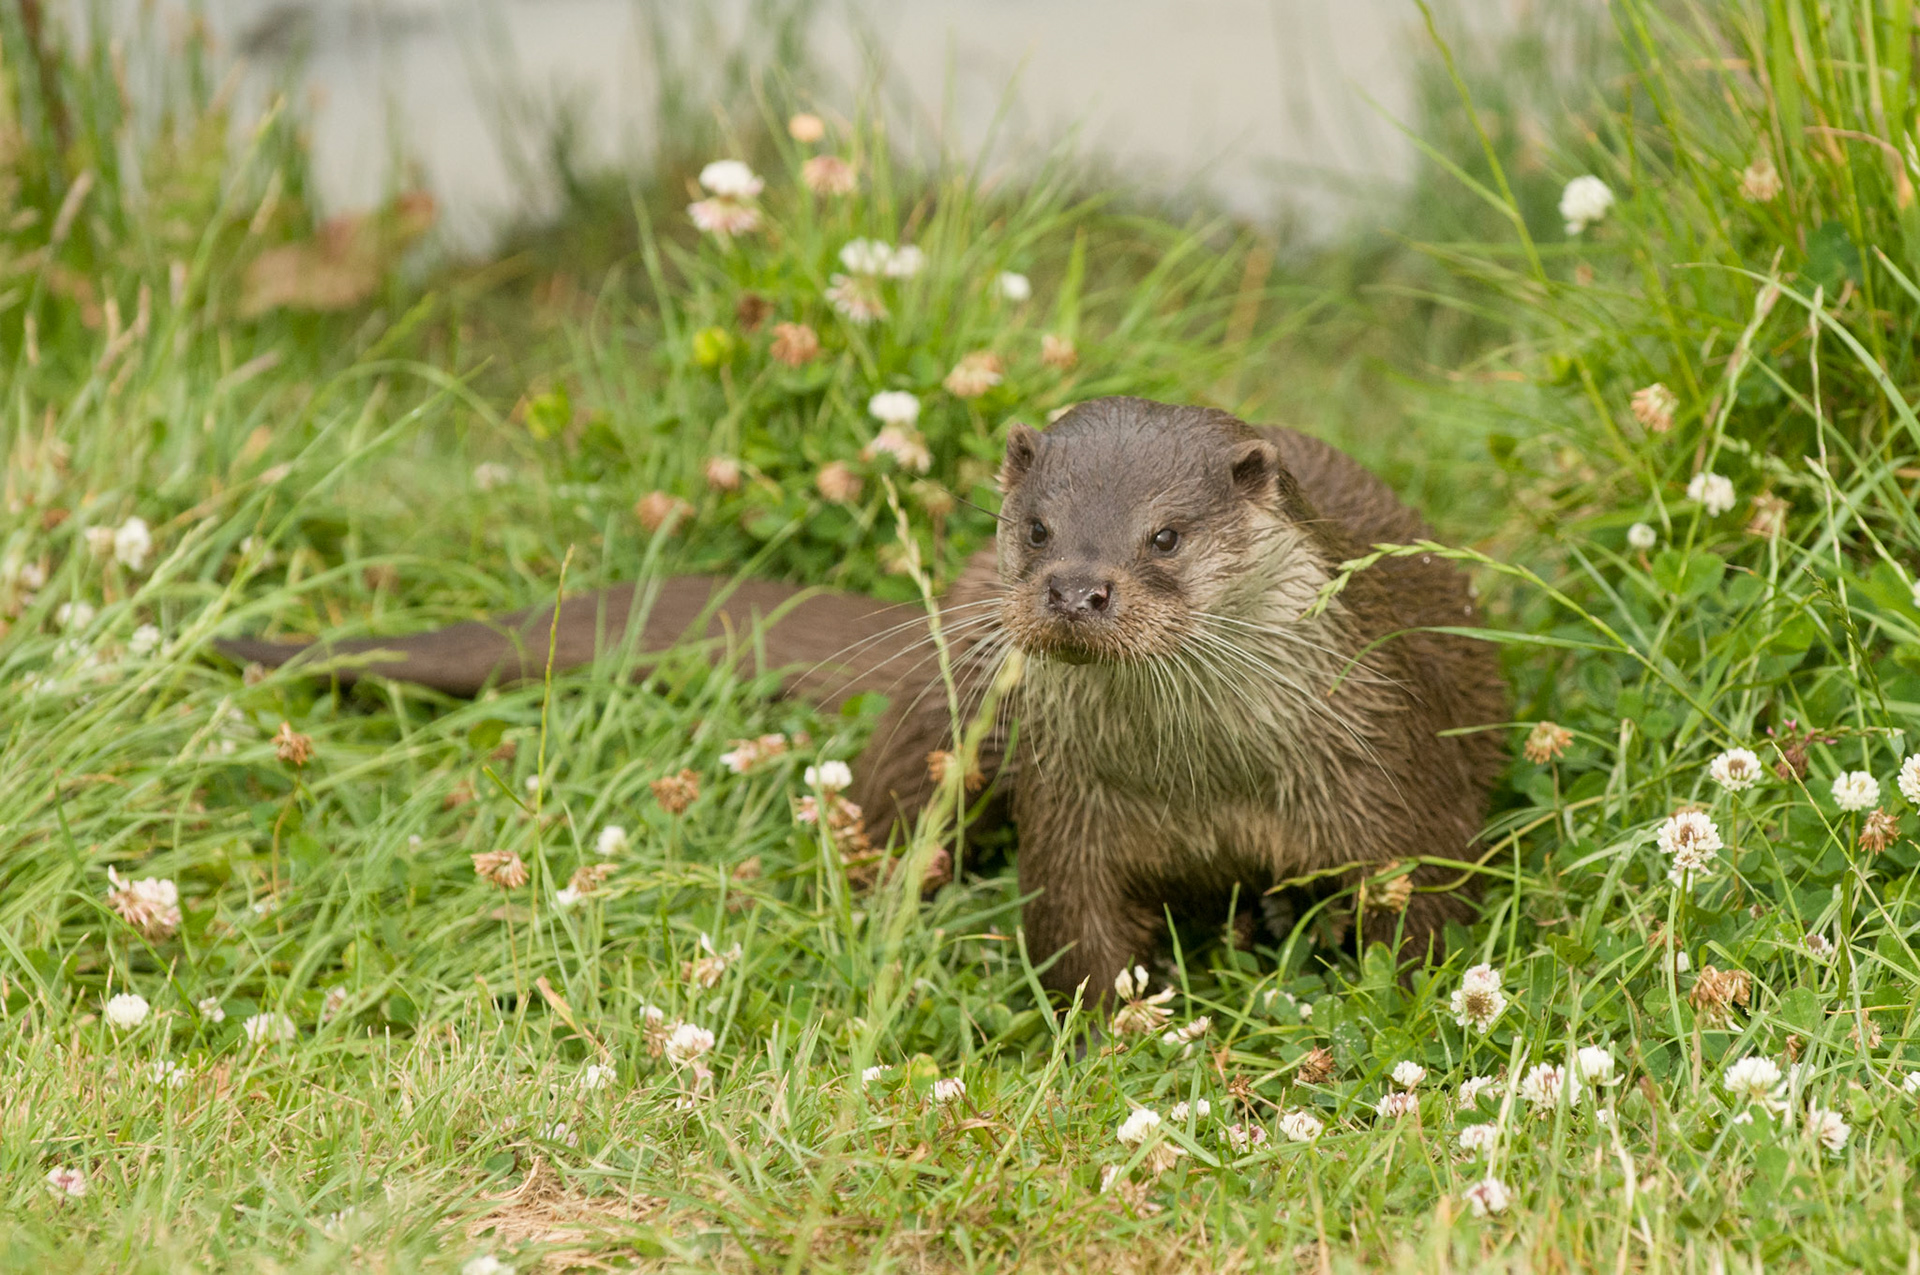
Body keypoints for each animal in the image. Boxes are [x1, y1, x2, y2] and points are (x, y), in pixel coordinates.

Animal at [220, 398, 1508, 998]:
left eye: (1165, 535)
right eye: (1039, 527)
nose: (1074, 587)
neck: (1208, 782)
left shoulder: (1397, 780)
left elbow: (1421, 925)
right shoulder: (1074, 817)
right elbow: (1078, 936)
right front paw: (1118, 1035)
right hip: (949, 709)